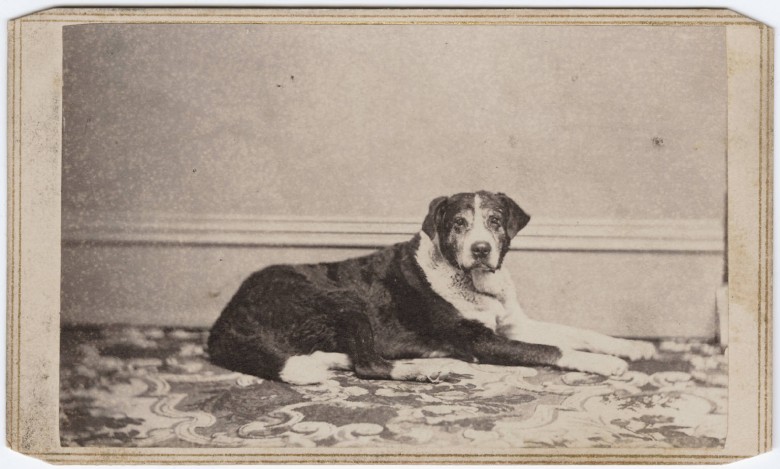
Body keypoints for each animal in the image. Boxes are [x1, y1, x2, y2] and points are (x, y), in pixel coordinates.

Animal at [208, 191, 656, 384]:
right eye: (458, 223)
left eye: (495, 220)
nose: (480, 248)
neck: (471, 280)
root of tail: (226, 319)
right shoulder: (482, 341)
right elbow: (552, 349)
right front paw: (605, 363)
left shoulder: (513, 324)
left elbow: (578, 333)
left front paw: (632, 347)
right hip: (344, 298)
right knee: (369, 364)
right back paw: (431, 367)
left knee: (339, 357)